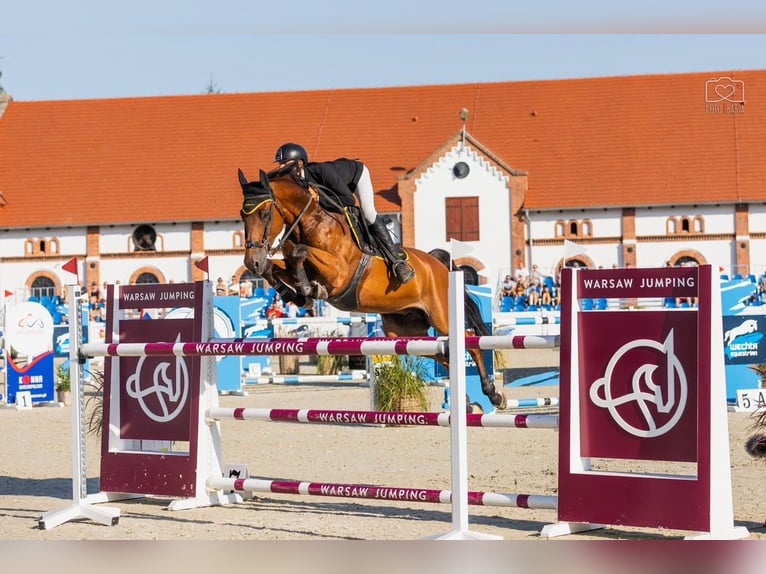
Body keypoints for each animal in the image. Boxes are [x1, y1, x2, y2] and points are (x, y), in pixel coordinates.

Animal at [237, 169, 508, 412]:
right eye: (242, 214)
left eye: (264, 214)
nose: (252, 261)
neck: (311, 222)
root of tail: (438, 264)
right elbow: (277, 266)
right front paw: (295, 292)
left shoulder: (339, 272)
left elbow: (298, 252)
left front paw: (306, 289)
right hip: (403, 331)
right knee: (444, 354)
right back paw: (467, 402)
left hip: (442, 316)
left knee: (471, 342)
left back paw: (494, 395)